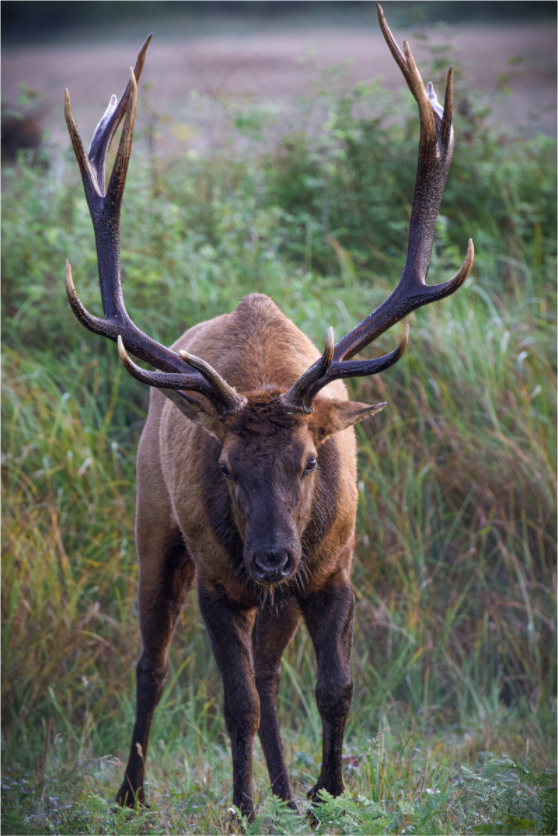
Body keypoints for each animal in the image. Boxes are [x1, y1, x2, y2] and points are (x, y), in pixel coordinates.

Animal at [63, 6, 473, 821]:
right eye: (224, 467)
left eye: (310, 461)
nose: (273, 557)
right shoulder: (220, 582)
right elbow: (235, 704)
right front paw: (244, 808)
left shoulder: (335, 566)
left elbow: (335, 687)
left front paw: (323, 795)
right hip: (156, 528)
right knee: (154, 663)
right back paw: (131, 794)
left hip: (271, 590)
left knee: (268, 670)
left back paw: (283, 789)